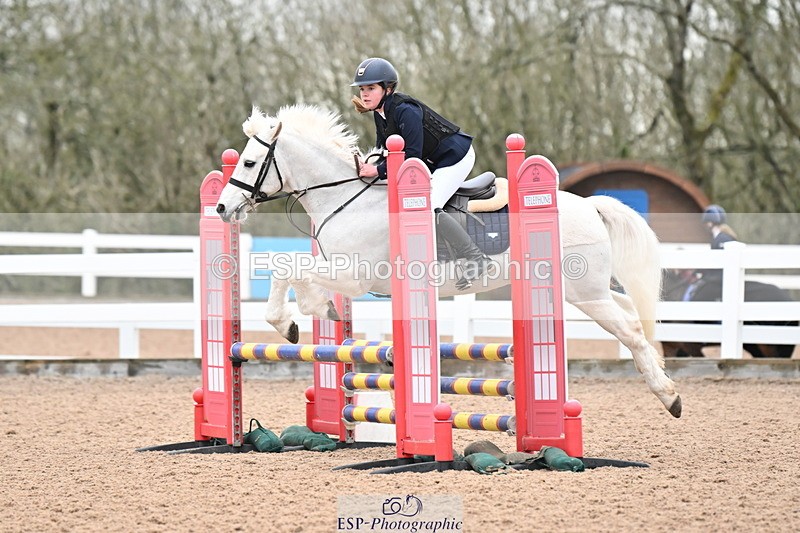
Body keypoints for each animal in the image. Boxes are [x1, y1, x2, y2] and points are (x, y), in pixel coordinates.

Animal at [215, 105, 682, 418]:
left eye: (251, 162)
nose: (221, 209)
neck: (346, 197)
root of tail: (590, 205)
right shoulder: (342, 271)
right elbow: (293, 270)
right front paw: (313, 312)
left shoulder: (356, 277)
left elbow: (288, 268)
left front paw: (291, 322)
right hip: (583, 291)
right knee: (632, 315)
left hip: (584, 292)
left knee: (631, 331)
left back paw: (670, 397)